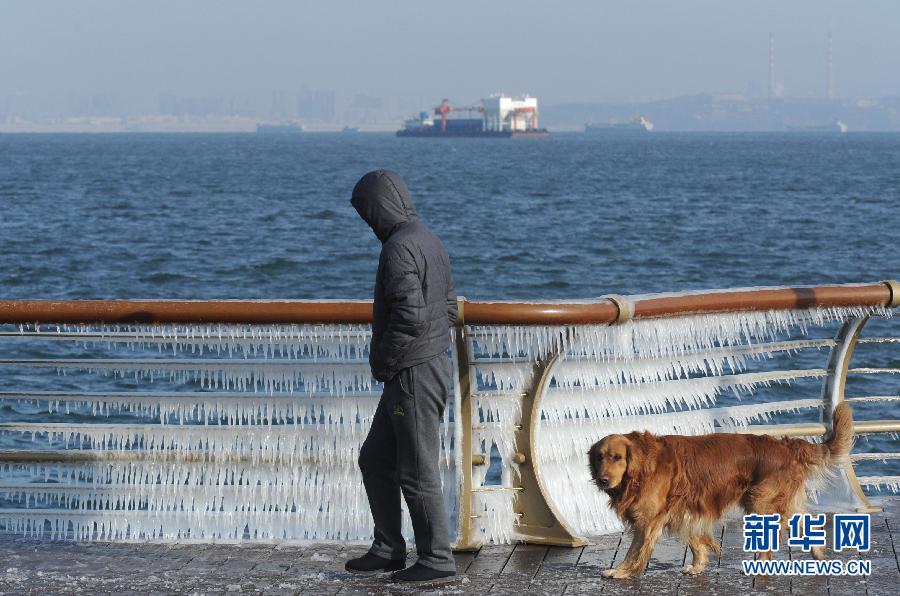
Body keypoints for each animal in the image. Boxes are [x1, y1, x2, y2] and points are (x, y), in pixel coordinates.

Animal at [588, 400, 856, 576]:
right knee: (805, 519)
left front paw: (622, 571)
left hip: (760, 502)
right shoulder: (682, 508)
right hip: (776, 501)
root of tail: (785, 445)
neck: (643, 466)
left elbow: (635, 549)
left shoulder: (648, 518)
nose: (603, 480)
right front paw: (698, 565)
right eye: (599, 457)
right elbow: (695, 538)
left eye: (617, 457)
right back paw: (818, 554)